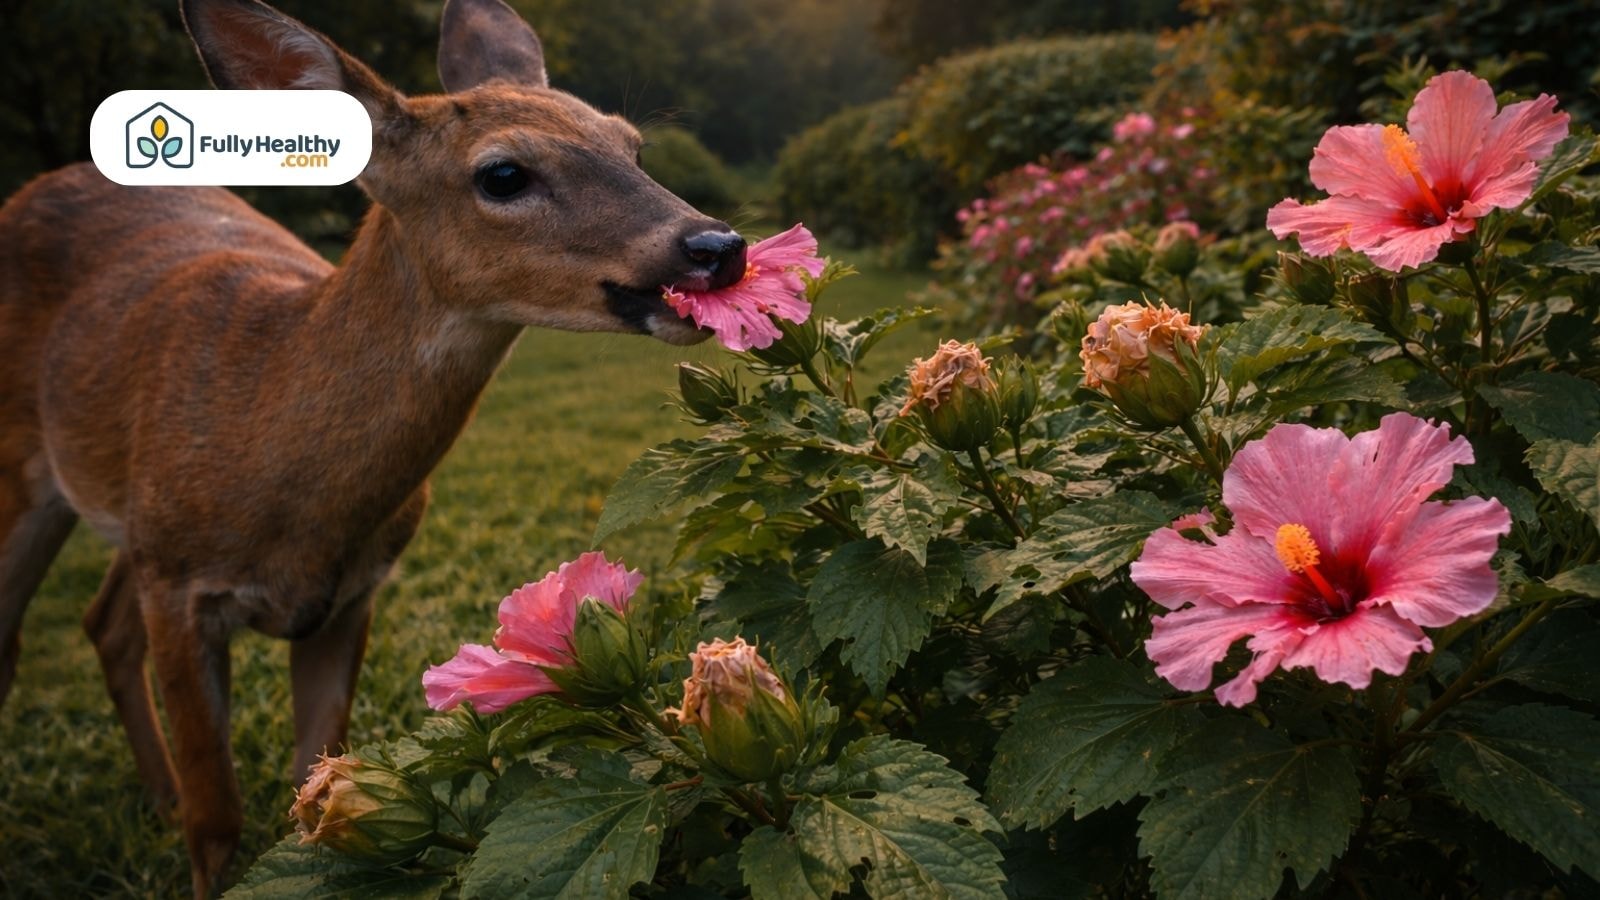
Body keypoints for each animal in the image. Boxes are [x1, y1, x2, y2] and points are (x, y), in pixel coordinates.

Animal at [0, 0, 747, 893]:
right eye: (503, 174)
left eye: (632, 145)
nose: (716, 246)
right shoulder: (180, 585)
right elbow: (216, 818)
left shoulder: (349, 593)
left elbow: (309, 785)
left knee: (103, 623)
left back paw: (155, 793)